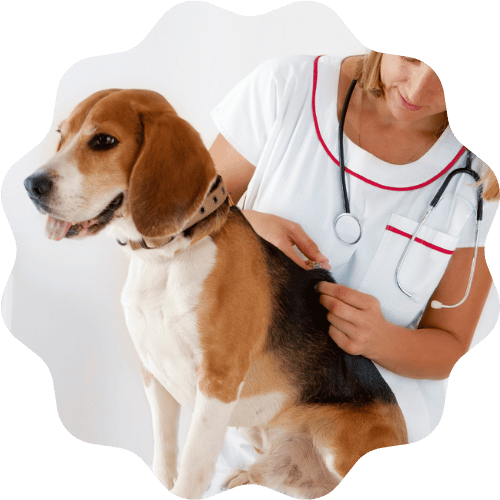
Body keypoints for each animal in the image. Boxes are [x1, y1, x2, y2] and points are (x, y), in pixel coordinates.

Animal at [23, 90, 408, 500]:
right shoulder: (155, 374)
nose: (31, 185)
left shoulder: (218, 381)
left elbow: (192, 470)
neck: (166, 258)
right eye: (61, 135)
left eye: (104, 141)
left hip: (338, 443)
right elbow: (166, 457)